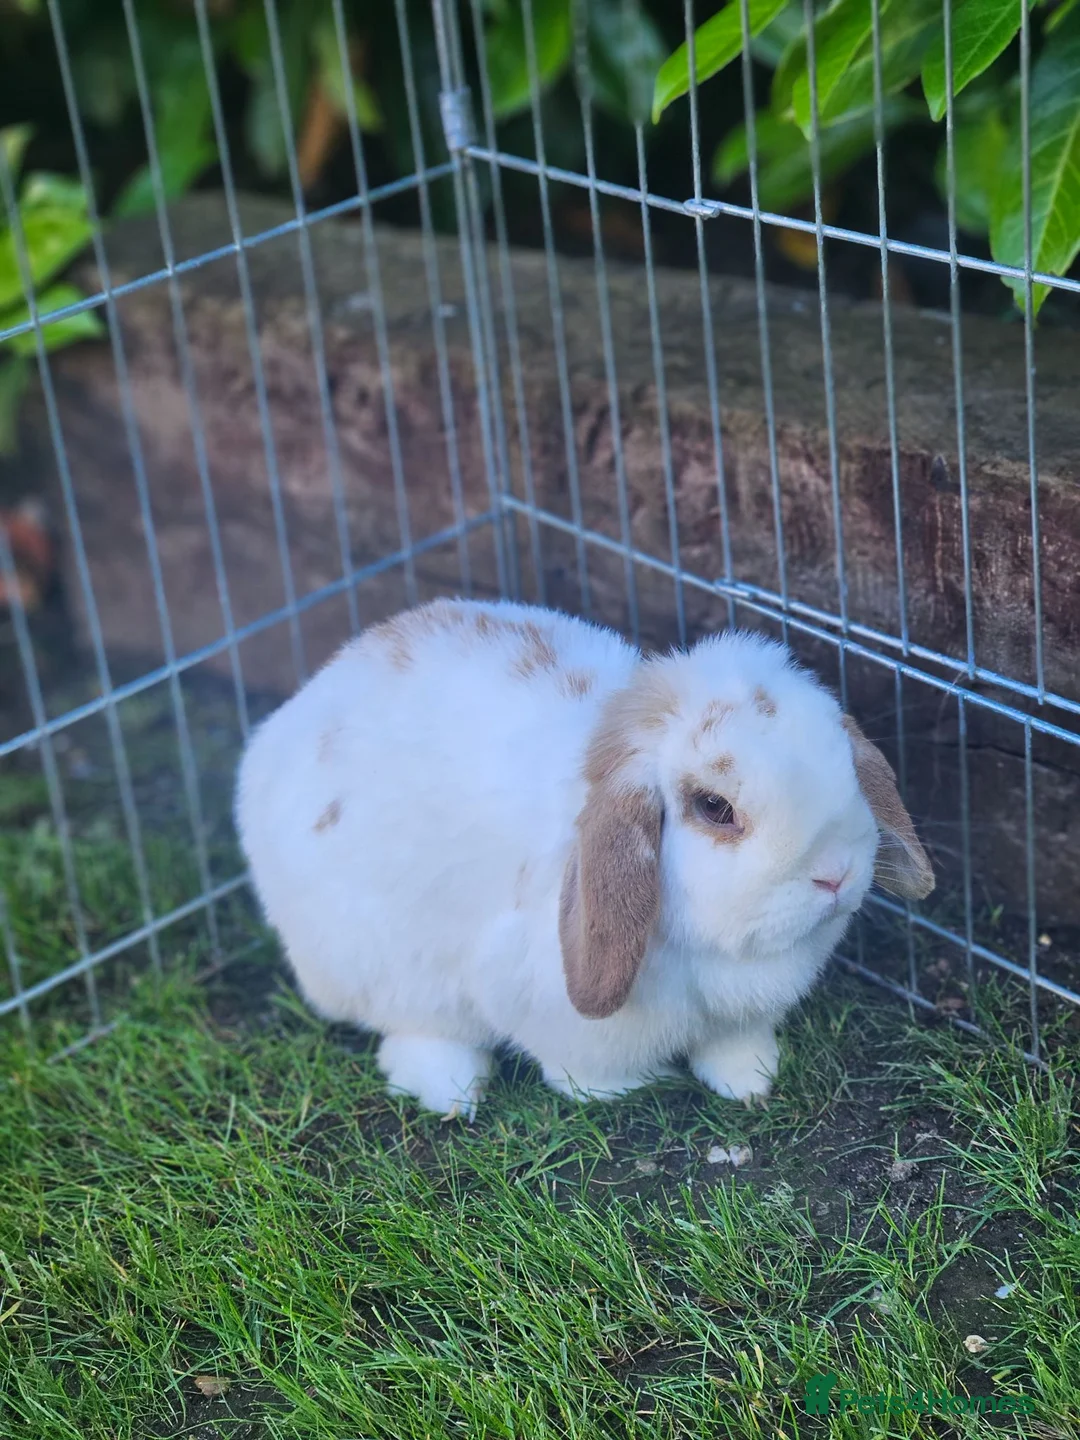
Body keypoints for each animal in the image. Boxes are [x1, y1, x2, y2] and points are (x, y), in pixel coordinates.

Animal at [235, 597, 933, 1120]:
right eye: (714, 807)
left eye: (843, 762)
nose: (835, 875)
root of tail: (288, 726)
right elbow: (579, 1067)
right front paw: (620, 1090)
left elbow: (734, 1048)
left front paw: (751, 1080)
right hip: (382, 966)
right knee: (414, 1032)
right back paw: (453, 1091)